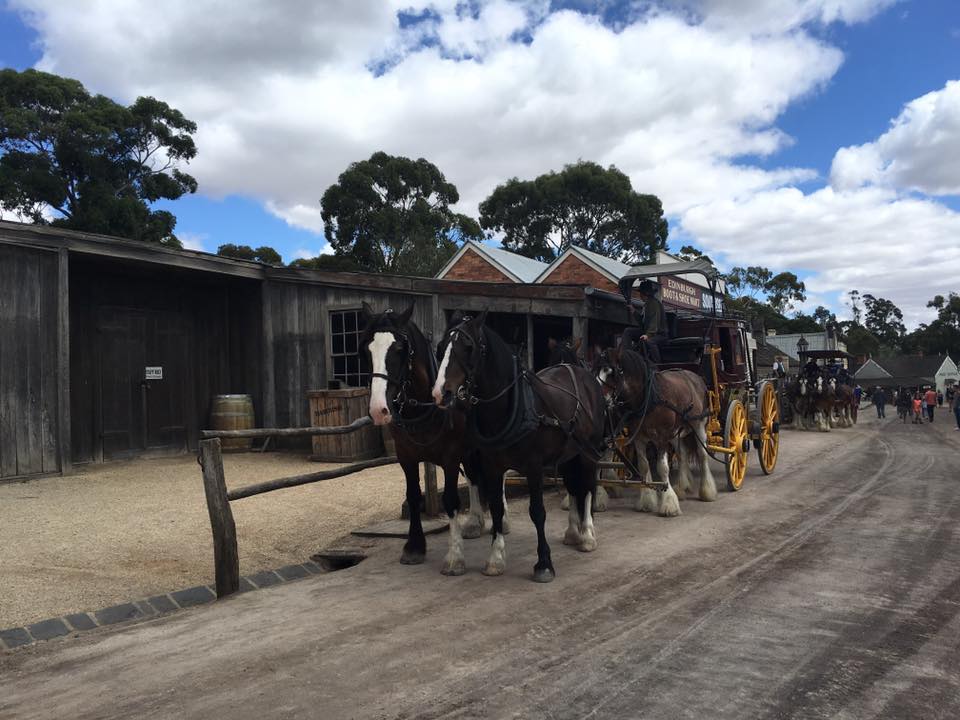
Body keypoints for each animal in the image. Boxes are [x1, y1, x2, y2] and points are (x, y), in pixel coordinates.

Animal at [432, 312, 604, 584]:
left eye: (468, 347)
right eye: (441, 348)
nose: (441, 393)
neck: (512, 407)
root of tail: (583, 375)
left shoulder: (533, 466)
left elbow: (538, 512)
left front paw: (544, 564)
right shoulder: (491, 466)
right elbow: (496, 509)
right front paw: (495, 559)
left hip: (588, 452)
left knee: (587, 488)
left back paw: (587, 535)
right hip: (569, 454)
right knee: (573, 485)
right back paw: (572, 532)